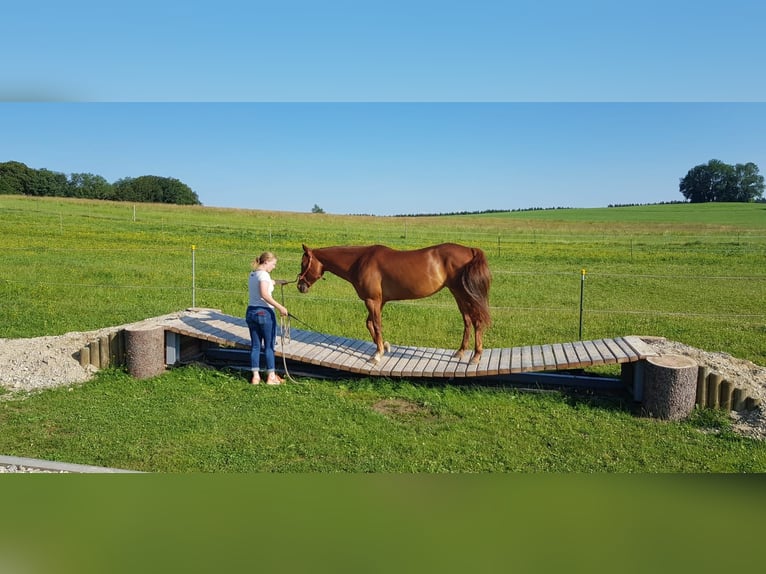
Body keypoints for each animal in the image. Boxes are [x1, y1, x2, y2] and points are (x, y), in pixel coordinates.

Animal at [296, 243, 496, 364]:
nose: (300, 286)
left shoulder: (372, 301)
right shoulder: (379, 302)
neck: (359, 261)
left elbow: (376, 325)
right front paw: (384, 346)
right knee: (467, 321)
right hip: (458, 295)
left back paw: (476, 356)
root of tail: (470, 250)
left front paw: (377, 355)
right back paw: (461, 352)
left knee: (476, 321)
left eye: (303, 263)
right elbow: (370, 324)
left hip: (465, 294)